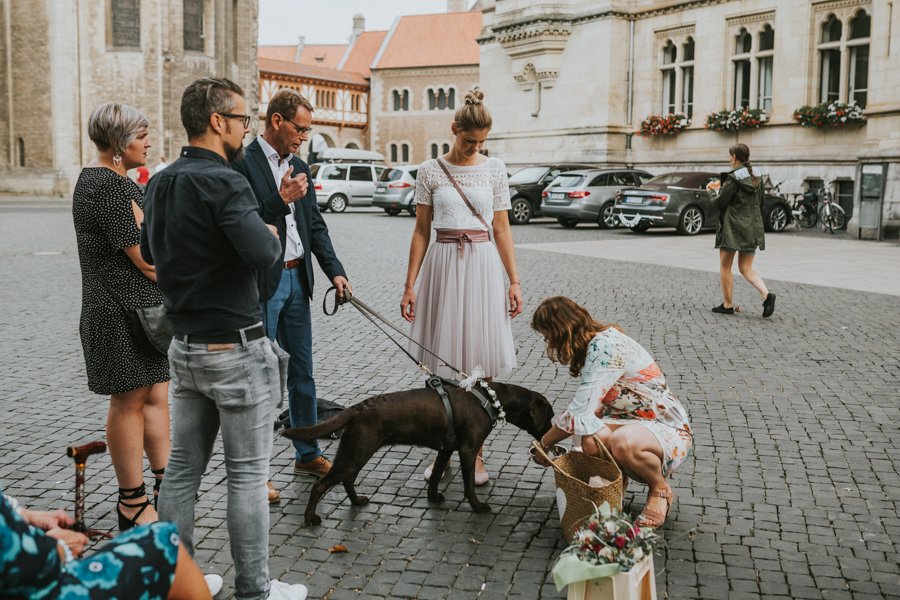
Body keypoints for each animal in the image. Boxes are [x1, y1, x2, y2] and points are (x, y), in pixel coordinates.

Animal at [284, 382, 556, 524]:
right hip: (355, 453)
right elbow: (468, 485)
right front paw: (478, 507)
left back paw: (357, 501)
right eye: (550, 416)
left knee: (348, 479)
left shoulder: (447, 449)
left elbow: (435, 476)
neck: (489, 398)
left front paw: (433, 497)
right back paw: (310, 518)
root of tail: (358, 408)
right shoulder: (467, 450)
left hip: (357, 452)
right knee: (321, 485)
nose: (551, 434)